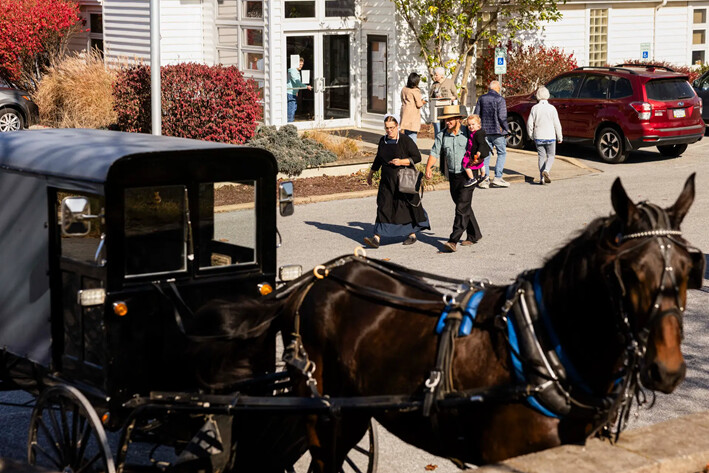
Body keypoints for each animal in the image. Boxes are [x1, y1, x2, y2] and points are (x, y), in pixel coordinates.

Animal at [274, 175, 700, 470]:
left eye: (687, 268)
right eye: (629, 272)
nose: (667, 369)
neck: (543, 349)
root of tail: (316, 278)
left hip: (351, 413)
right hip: (324, 417)